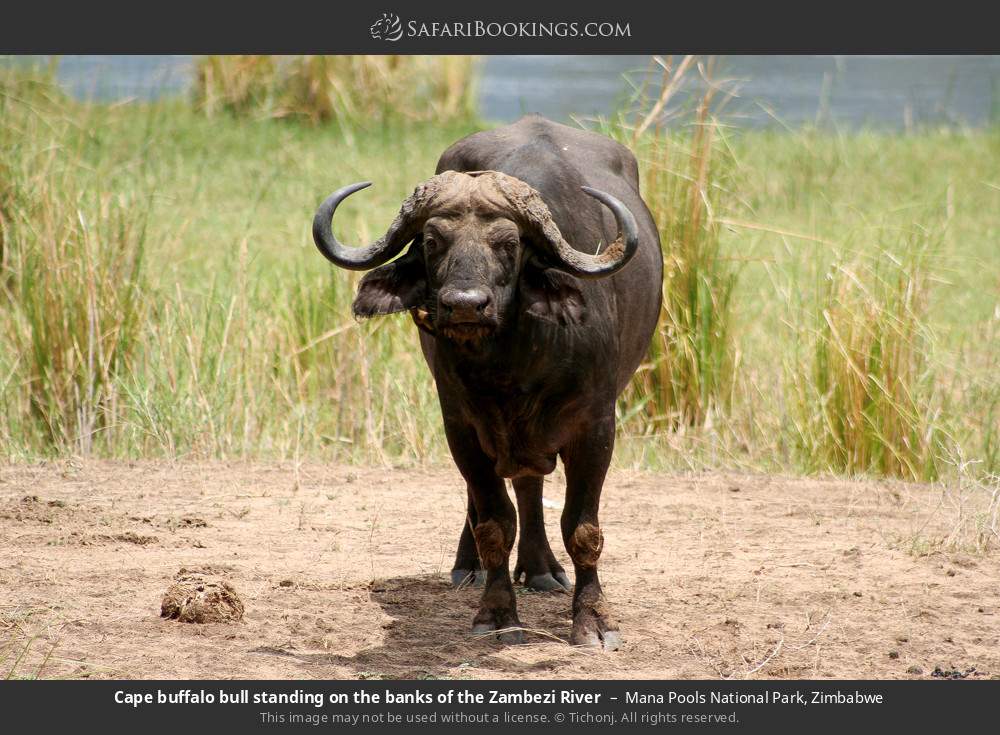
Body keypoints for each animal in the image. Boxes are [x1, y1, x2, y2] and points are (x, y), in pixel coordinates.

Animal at [311, 115, 663, 649]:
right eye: (432, 241)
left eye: (509, 244)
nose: (464, 306)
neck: (512, 368)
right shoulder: (461, 424)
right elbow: (494, 521)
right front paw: (496, 613)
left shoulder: (597, 425)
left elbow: (583, 528)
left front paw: (594, 620)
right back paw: (473, 567)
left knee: (530, 484)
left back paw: (541, 570)